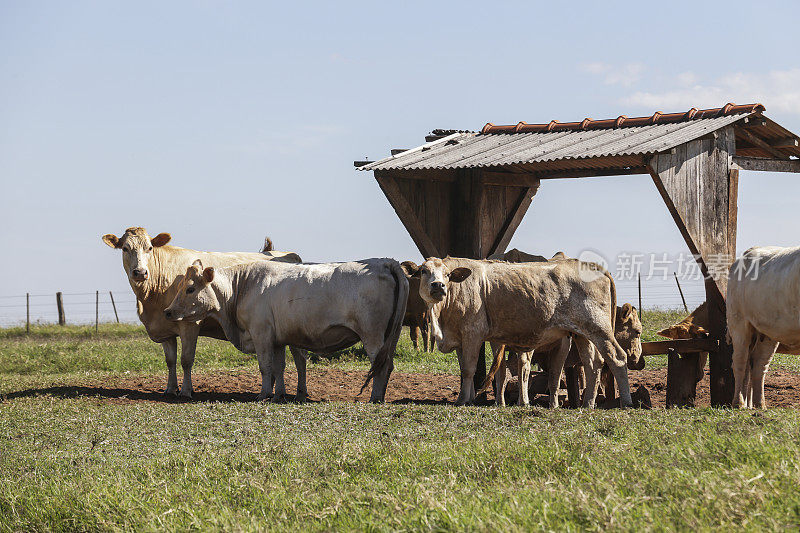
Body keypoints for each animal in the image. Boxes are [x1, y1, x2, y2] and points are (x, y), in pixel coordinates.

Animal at [102, 225, 306, 400]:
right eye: (125, 248)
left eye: (150, 248)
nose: (140, 272)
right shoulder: (165, 328)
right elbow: (170, 361)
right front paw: (170, 389)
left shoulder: (190, 324)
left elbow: (186, 360)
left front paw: (186, 391)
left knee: (299, 359)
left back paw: (298, 393)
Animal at [165, 258, 410, 404]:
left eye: (190, 289)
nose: (167, 312)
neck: (243, 286)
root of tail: (384, 262)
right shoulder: (278, 340)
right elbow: (279, 367)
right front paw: (279, 394)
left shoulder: (261, 334)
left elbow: (265, 367)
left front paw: (264, 394)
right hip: (392, 335)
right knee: (388, 365)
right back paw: (381, 395)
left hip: (372, 335)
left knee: (380, 364)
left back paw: (375, 397)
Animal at [410, 256, 636, 406]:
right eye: (423, 271)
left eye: (447, 275)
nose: (438, 286)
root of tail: (592, 266)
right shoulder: (459, 338)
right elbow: (465, 369)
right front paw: (464, 397)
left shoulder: (473, 333)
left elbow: (469, 369)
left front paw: (464, 400)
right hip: (582, 334)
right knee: (593, 364)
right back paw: (588, 403)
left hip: (599, 329)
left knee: (616, 358)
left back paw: (626, 402)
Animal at [728, 245, 800, 408]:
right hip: (738, 323)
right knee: (740, 362)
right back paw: (738, 403)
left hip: (767, 333)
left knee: (759, 365)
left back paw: (759, 404)